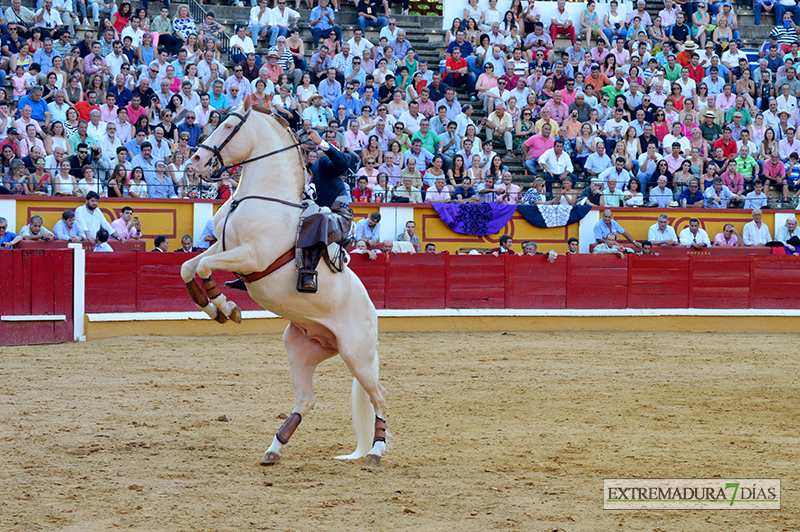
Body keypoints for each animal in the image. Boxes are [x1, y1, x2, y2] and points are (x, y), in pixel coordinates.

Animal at [184, 100, 390, 466]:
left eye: (229, 127)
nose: (194, 160)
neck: (257, 196)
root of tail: (372, 314)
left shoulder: (250, 256)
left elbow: (204, 266)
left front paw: (226, 307)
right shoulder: (222, 247)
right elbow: (187, 267)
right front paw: (212, 306)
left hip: (358, 355)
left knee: (379, 396)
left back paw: (376, 451)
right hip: (301, 350)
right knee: (306, 399)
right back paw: (274, 448)